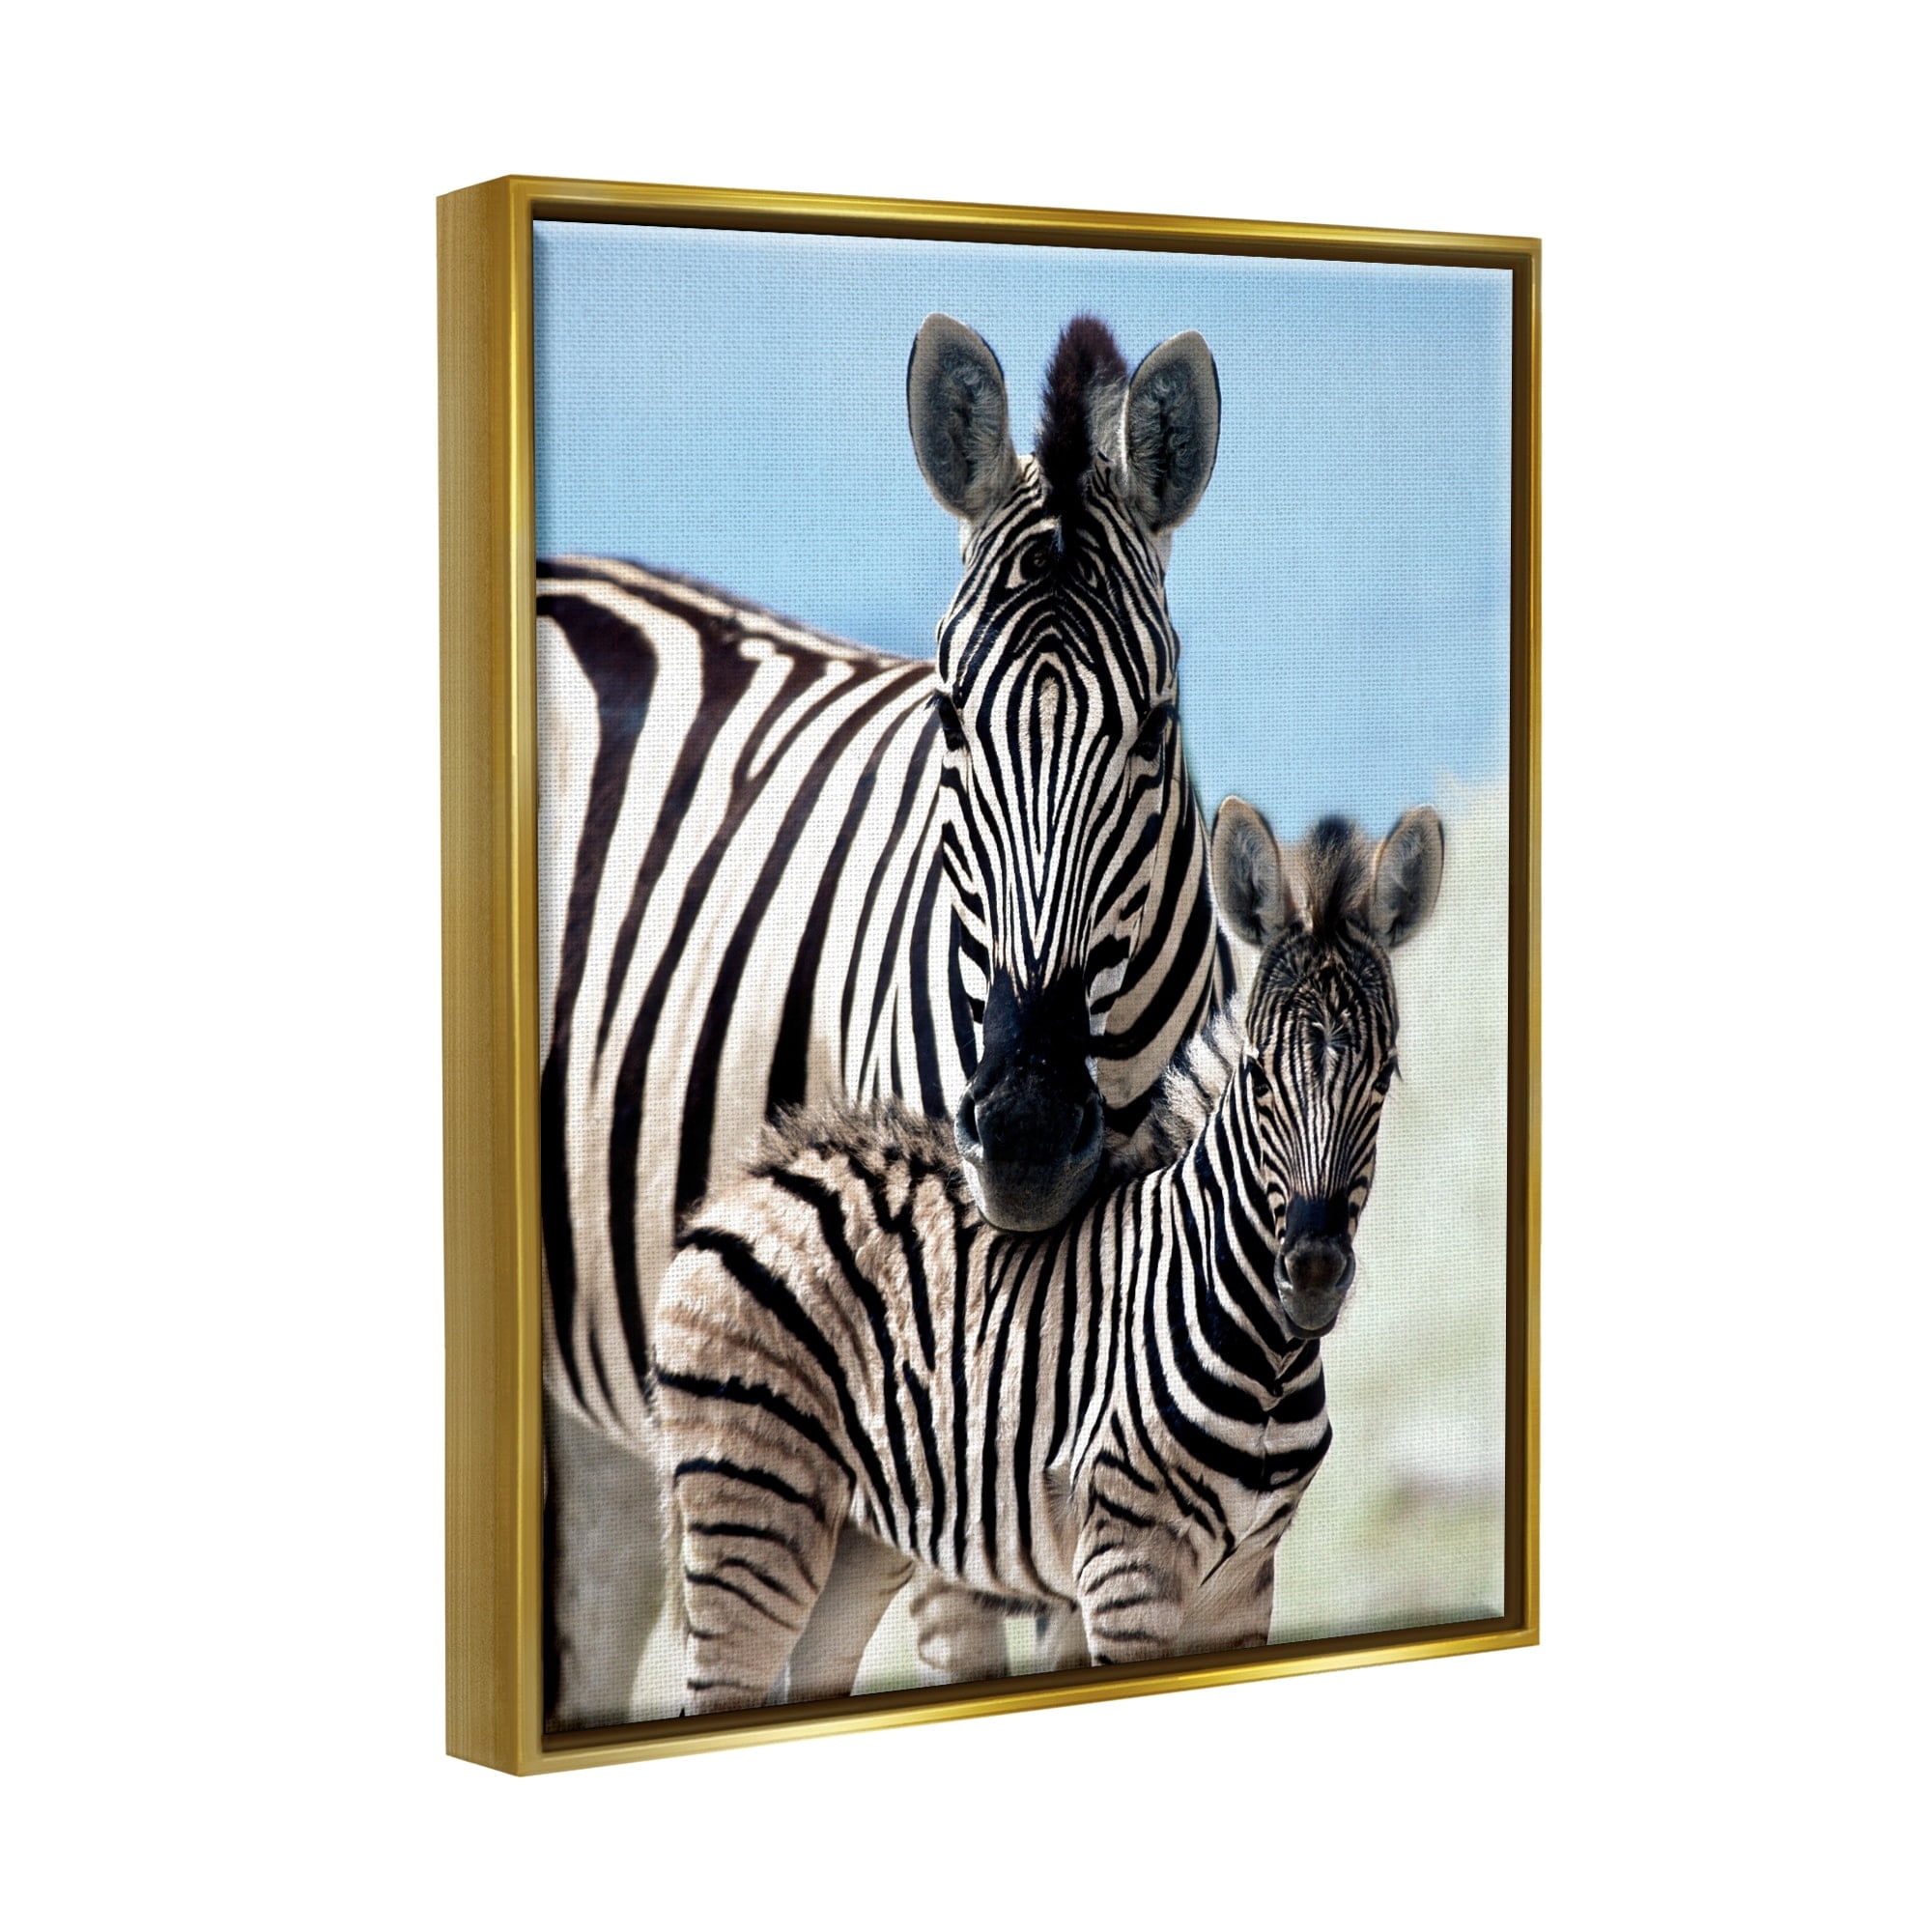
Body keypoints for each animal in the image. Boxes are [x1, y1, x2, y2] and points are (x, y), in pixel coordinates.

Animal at [652, 797, 1446, 1712]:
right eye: (1257, 1077)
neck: (1268, 1356)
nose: (1313, 1274)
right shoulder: (1128, 1564)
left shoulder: (1246, 1579)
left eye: (1385, 1077)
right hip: (750, 1511)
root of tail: (747, 1182)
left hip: (855, 1541)